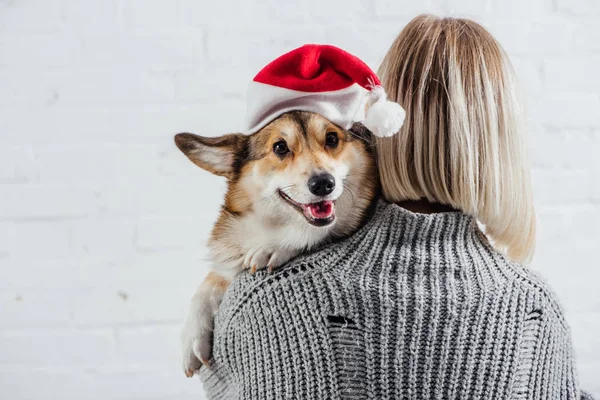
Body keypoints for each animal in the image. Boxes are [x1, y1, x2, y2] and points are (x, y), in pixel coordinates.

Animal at [176, 111, 378, 376]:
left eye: (332, 139)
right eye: (280, 147)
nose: (324, 183)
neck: (269, 224)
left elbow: (307, 235)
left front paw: (274, 248)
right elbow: (207, 286)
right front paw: (191, 338)